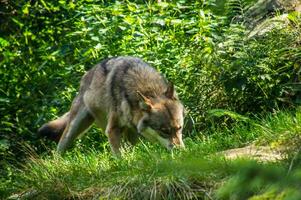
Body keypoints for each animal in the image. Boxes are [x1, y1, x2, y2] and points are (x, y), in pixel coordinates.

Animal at [37, 56, 183, 155]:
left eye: (179, 128)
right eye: (164, 131)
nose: (180, 150)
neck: (148, 89)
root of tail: (87, 74)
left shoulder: (132, 131)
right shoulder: (112, 129)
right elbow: (120, 154)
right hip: (74, 128)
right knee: (60, 147)